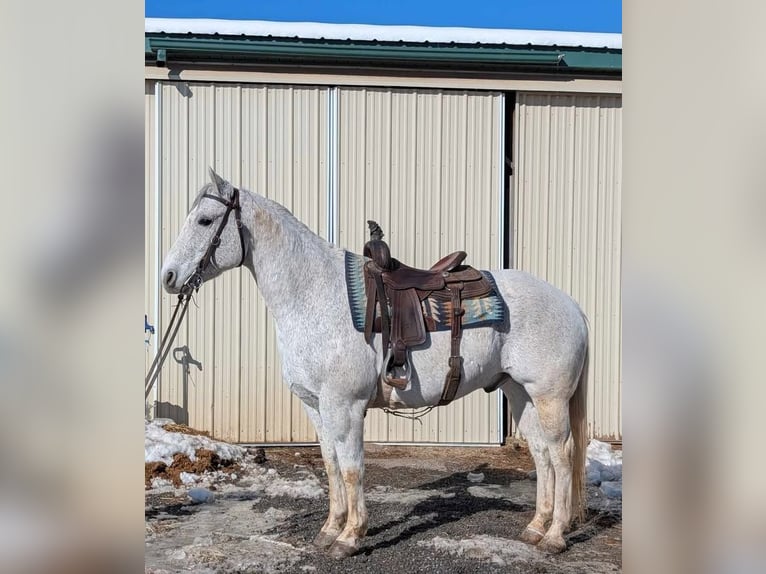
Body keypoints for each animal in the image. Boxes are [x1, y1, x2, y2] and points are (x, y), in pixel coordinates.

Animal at [160, 169, 590, 558]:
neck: (314, 294)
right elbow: (331, 465)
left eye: (205, 220)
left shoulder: (345, 405)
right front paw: (329, 530)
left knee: (562, 453)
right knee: (541, 454)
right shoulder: (316, 405)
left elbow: (352, 468)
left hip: (549, 397)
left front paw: (350, 537)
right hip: (519, 393)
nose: (168, 276)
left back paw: (555, 536)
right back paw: (536, 528)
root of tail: (572, 305)